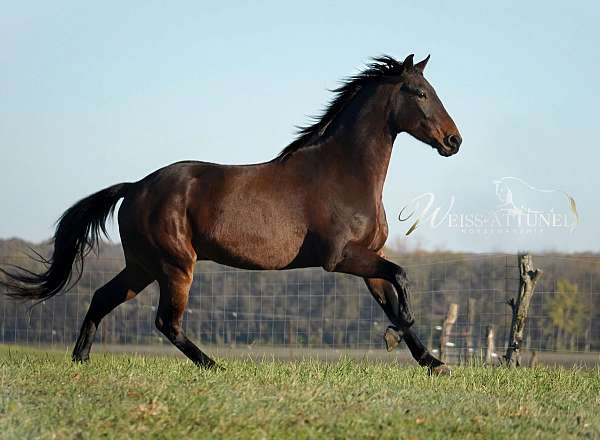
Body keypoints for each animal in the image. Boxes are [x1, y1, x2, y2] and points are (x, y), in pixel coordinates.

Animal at [1, 53, 460, 372]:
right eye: (420, 93)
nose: (453, 140)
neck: (343, 171)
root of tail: (134, 188)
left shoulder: (367, 259)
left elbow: (393, 297)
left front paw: (433, 362)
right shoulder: (340, 258)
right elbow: (402, 279)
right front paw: (394, 337)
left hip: (143, 266)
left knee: (102, 298)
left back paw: (81, 360)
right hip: (175, 266)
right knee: (166, 322)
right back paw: (213, 366)